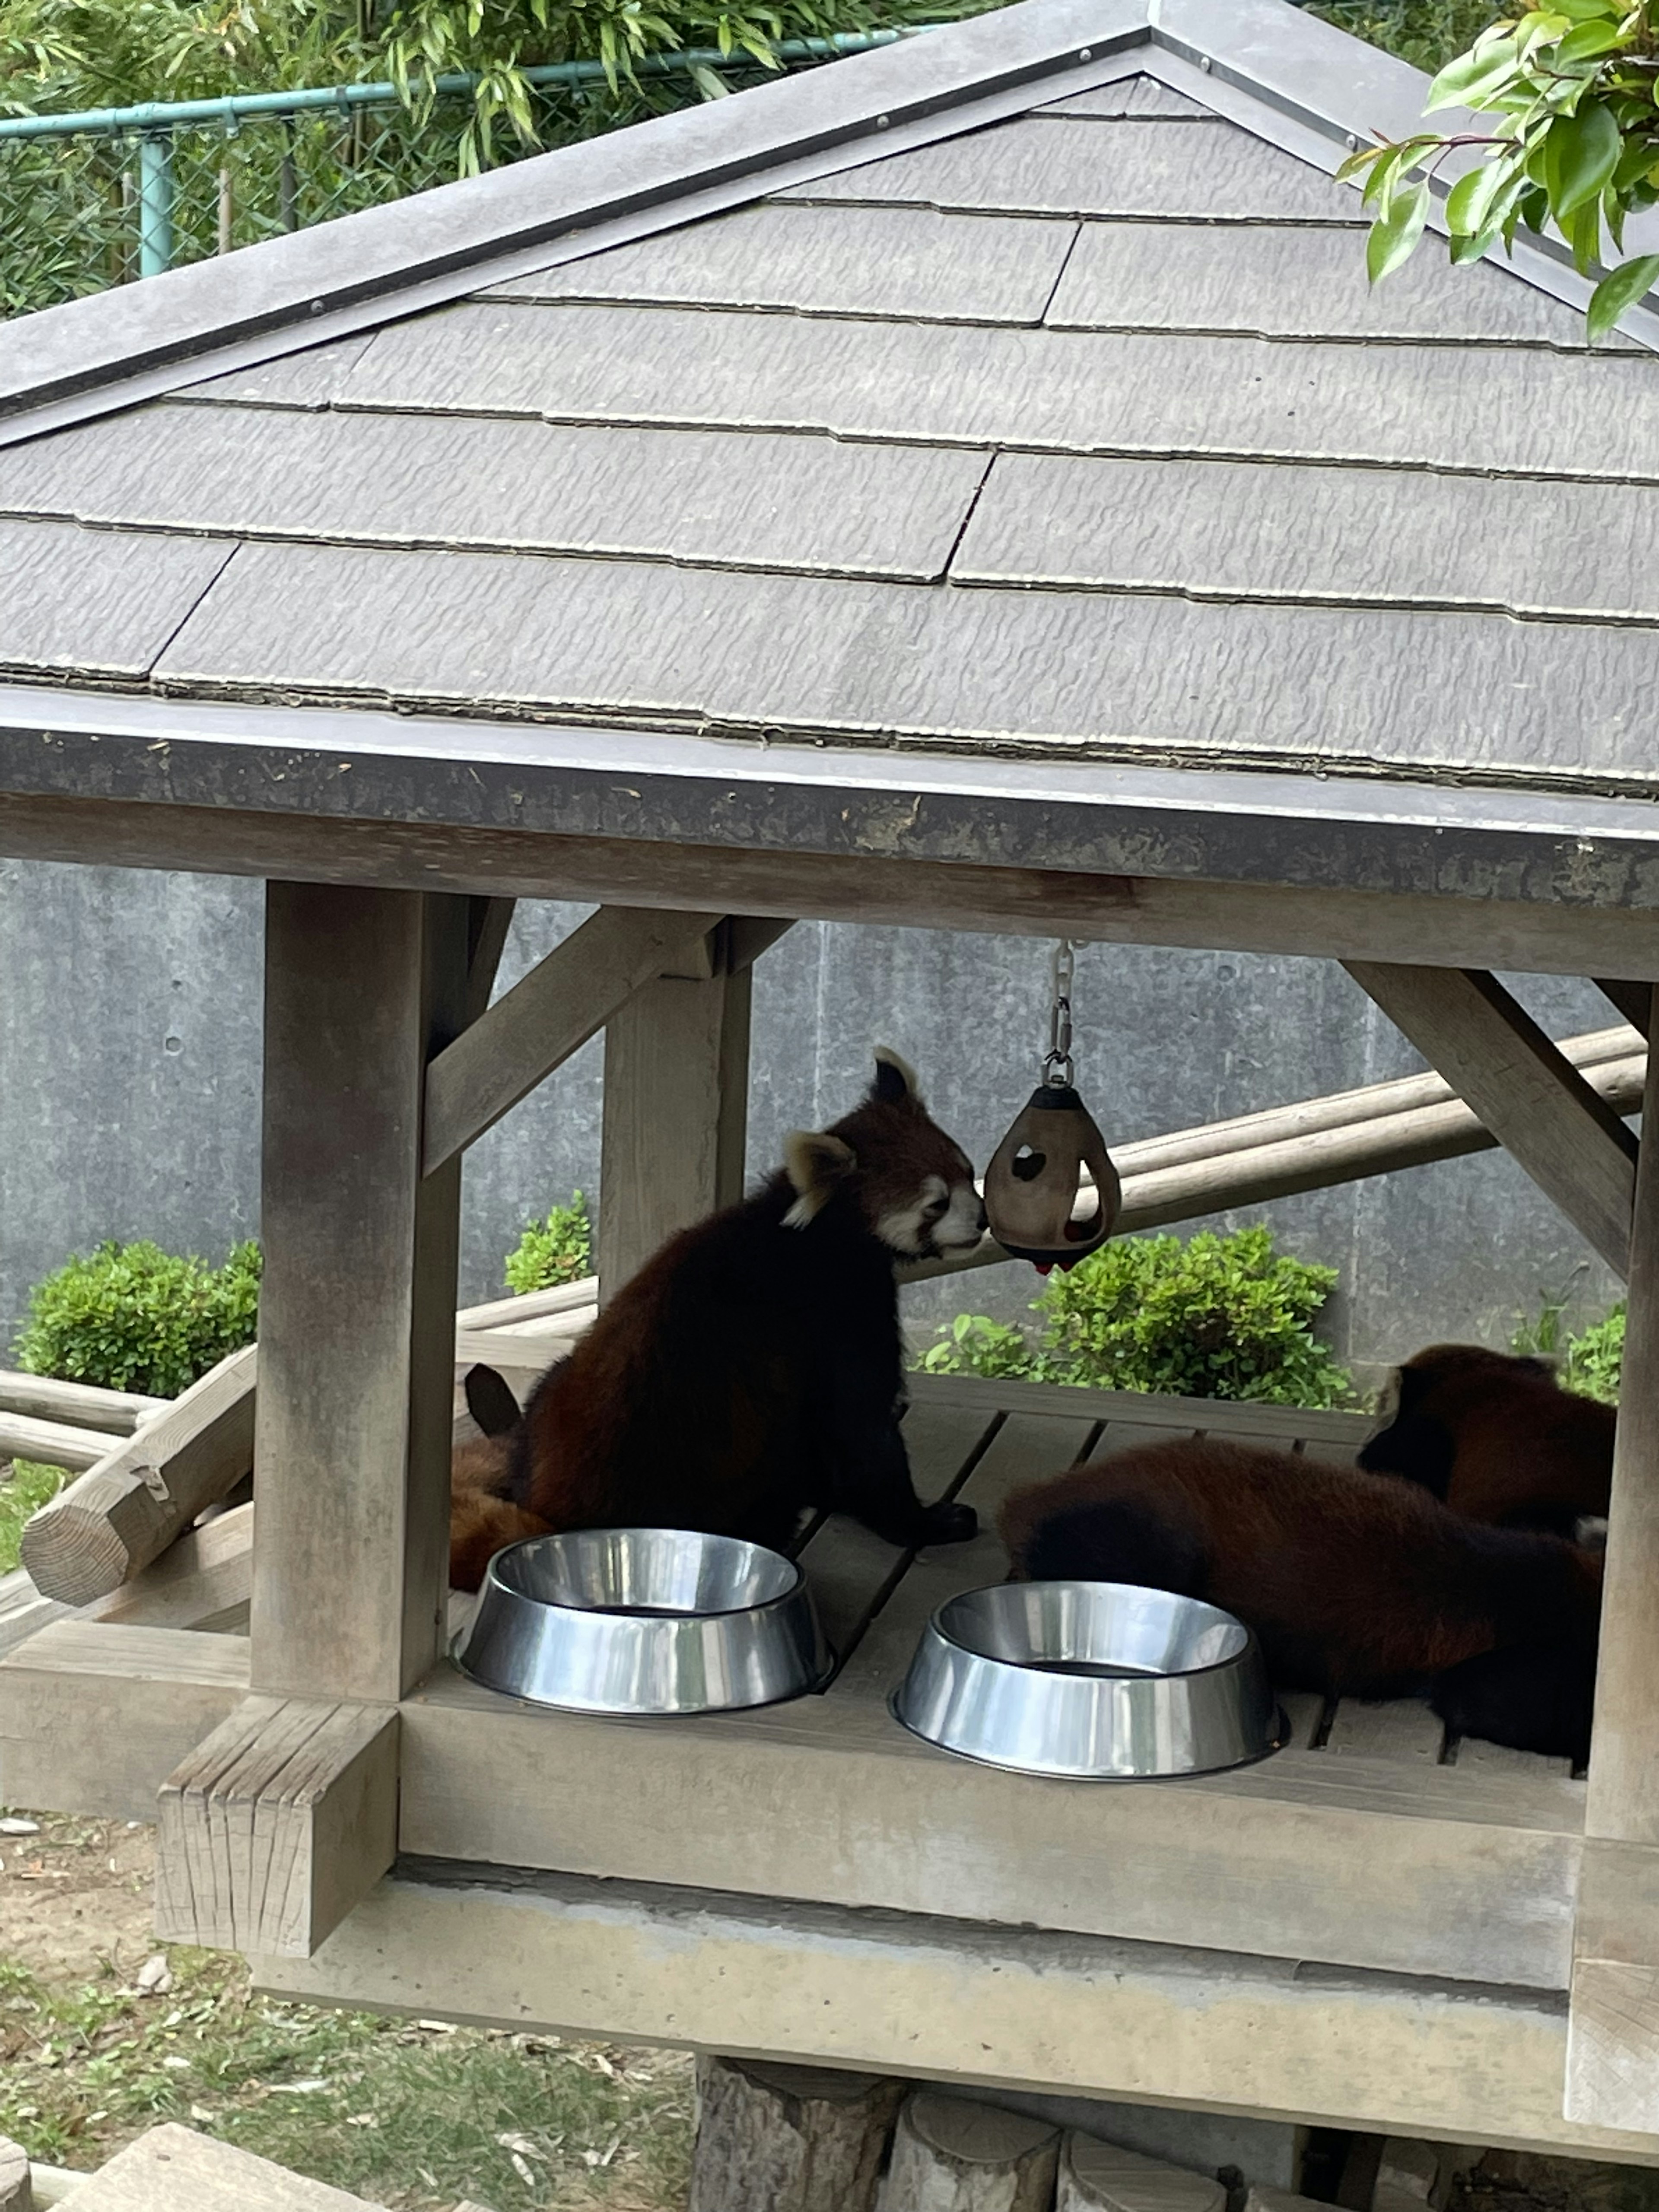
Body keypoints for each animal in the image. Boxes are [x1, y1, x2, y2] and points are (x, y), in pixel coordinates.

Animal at [451, 1053, 986, 1592]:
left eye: (969, 1171)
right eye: (937, 1203)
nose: (983, 1219)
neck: (820, 1228)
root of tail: (559, 1520)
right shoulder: (836, 1308)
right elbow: (862, 1423)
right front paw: (920, 1521)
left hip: (552, 1396)